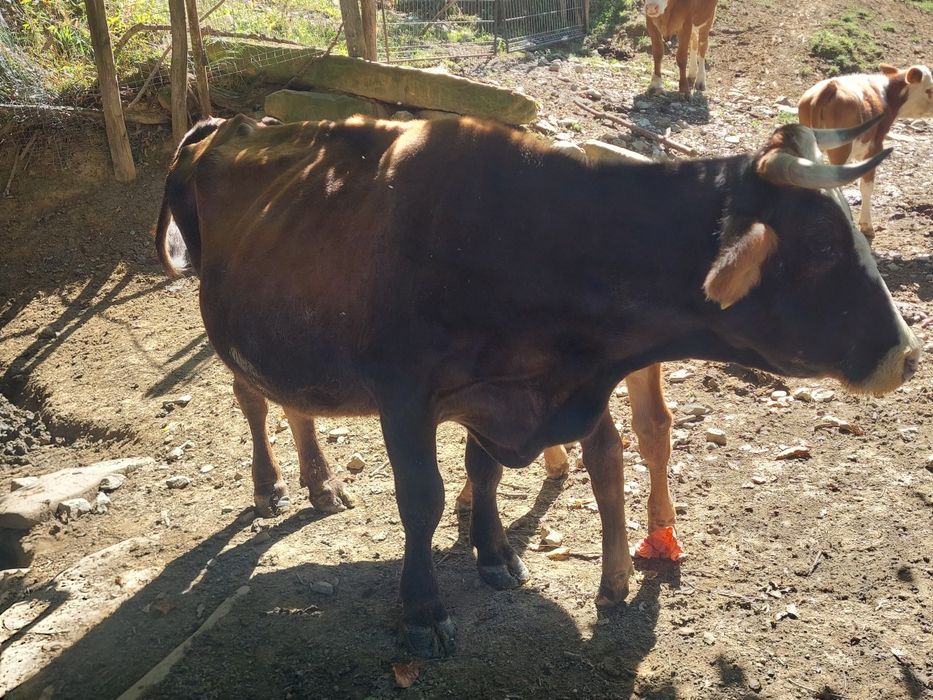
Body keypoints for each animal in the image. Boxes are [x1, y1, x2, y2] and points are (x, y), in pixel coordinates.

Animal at [154, 113, 919, 658]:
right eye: (821, 244)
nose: (907, 356)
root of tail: (226, 122)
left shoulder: (494, 394)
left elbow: (484, 474)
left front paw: (495, 555)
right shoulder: (406, 397)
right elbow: (423, 500)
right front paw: (423, 610)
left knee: (295, 405)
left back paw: (320, 482)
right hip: (226, 325)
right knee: (253, 400)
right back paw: (270, 485)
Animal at [798, 64, 933, 239]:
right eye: (929, 89)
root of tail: (829, 87)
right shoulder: (875, 146)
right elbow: (866, 186)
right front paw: (867, 226)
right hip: (840, 148)